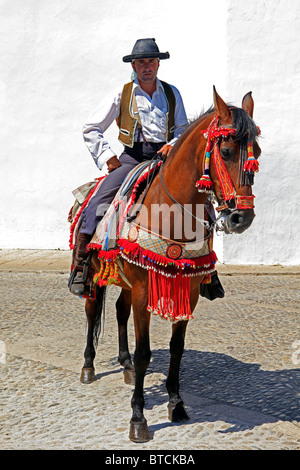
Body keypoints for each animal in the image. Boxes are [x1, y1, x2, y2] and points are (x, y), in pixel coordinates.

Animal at [79, 87, 260, 440]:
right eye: (226, 151)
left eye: (256, 152)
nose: (240, 218)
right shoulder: (142, 290)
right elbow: (145, 352)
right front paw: (138, 418)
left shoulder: (187, 289)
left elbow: (177, 347)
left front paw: (176, 404)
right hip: (95, 275)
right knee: (93, 311)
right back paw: (88, 367)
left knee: (119, 311)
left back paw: (124, 365)